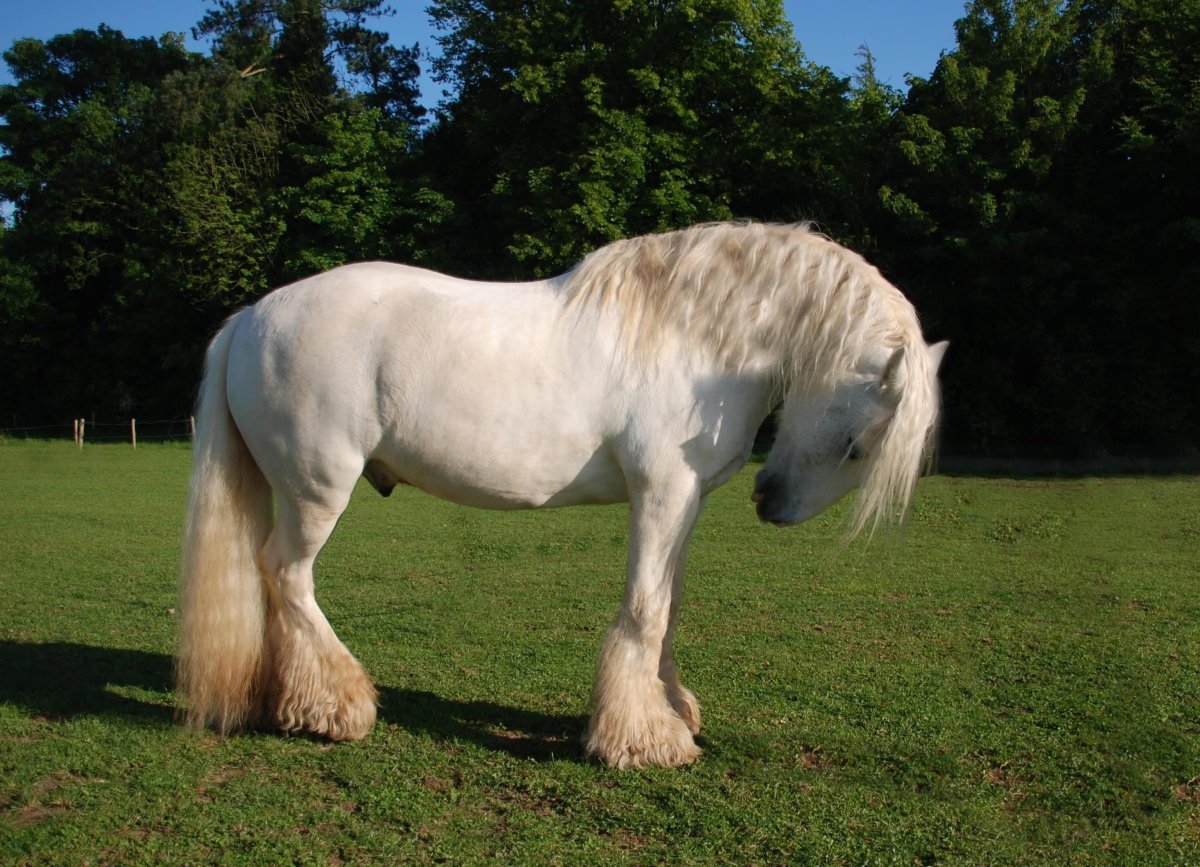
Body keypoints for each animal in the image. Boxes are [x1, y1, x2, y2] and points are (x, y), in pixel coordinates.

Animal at [176, 221, 947, 769]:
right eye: (859, 446)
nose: (771, 502)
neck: (697, 336)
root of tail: (251, 317)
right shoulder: (662, 492)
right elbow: (645, 609)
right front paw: (645, 740)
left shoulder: (686, 501)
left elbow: (669, 606)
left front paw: (670, 709)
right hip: (316, 491)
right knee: (288, 575)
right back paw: (340, 708)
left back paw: (292, 703)